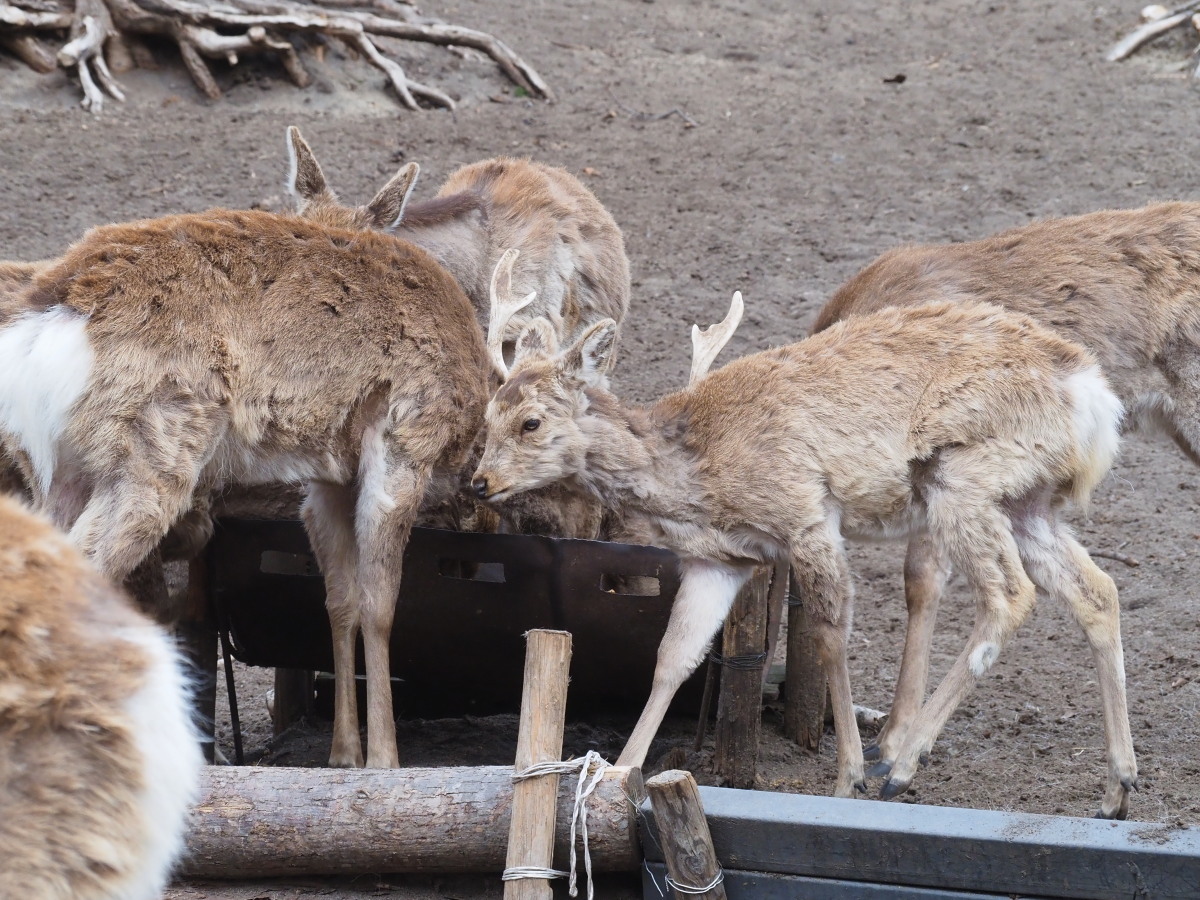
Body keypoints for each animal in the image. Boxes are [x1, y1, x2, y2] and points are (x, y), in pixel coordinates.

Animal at [0, 168, 489, 768]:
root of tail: (48, 319)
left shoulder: (331, 477)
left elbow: (341, 600)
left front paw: (343, 753)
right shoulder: (405, 439)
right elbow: (381, 603)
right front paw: (385, 760)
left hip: (56, 473)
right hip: (152, 452)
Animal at [472, 292, 1137, 820]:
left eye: (531, 422)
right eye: (487, 413)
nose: (479, 482)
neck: (694, 479)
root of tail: (1094, 400)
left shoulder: (807, 514)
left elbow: (830, 638)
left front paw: (848, 777)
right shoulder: (719, 561)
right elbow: (672, 658)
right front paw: (619, 771)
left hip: (962, 476)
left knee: (1011, 594)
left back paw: (901, 765)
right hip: (1029, 501)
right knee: (1098, 589)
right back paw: (1117, 787)